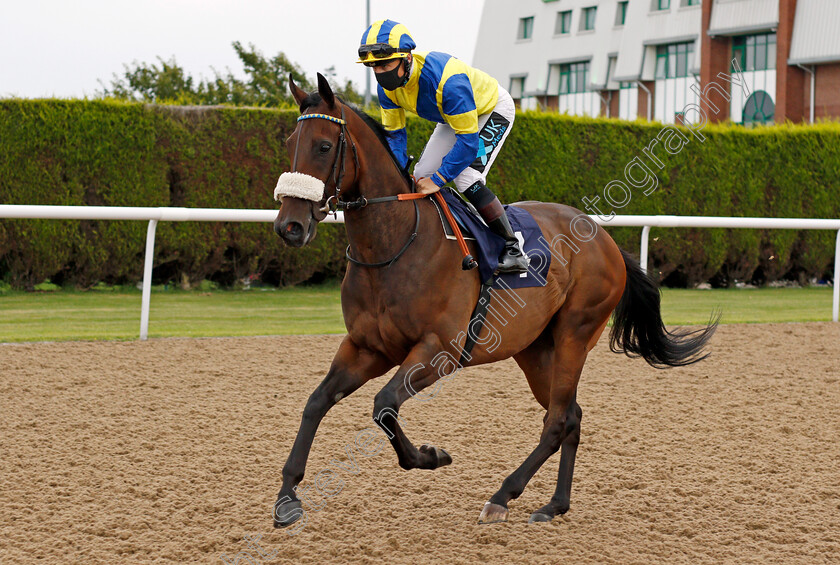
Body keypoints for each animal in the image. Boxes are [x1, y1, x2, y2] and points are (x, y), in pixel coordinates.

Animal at [272, 72, 720, 528]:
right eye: (290, 142)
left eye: (324, 146)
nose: (290, 226)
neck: (396, 244)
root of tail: (605, 239)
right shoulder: (366, 347)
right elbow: (316, 402)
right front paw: (287, 497)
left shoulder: (440, 350)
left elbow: (383, 406)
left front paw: (431, 455)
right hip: (535, 349)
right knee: (571, 416)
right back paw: (555, 504)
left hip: (575, 335)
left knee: (558, 419)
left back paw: (503, 495)